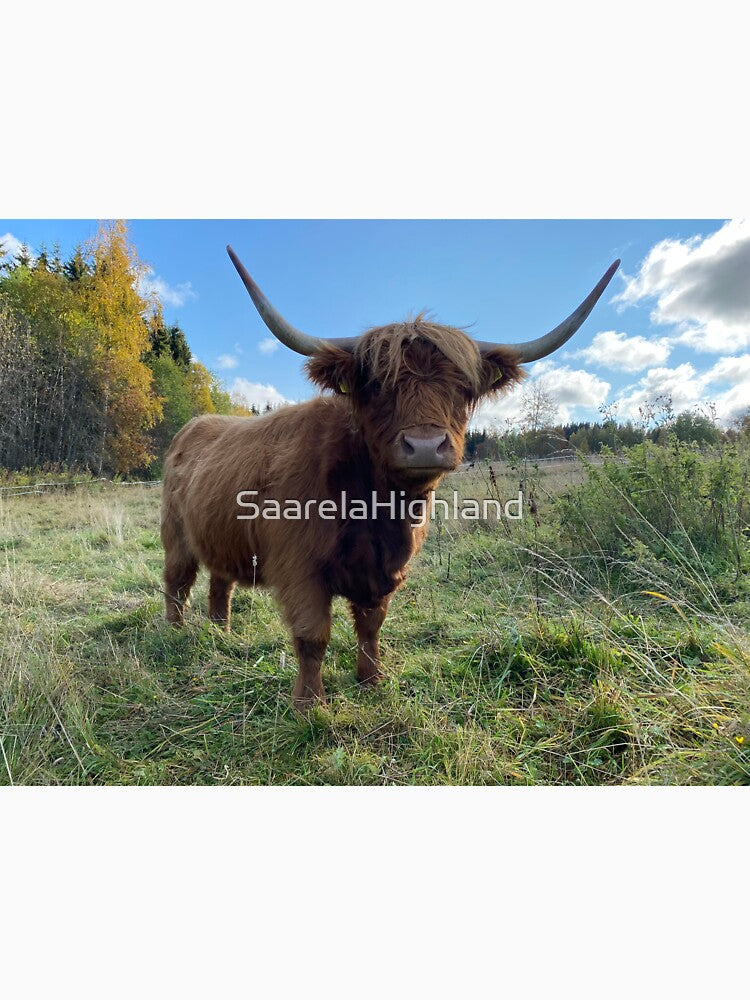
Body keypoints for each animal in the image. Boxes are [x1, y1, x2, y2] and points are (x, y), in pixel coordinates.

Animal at [161, 247, 619, 708]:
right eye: (379, 385)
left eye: (463, 389)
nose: (425, 445)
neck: (378, 509)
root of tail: (191, 427)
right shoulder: (300, 567)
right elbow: (312, 637)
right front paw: (309, 705)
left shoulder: (385, 570)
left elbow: (371, 626)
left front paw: (371, 680)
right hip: (175, 535)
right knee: (177, 582)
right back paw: (175, 634)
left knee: (220, 585)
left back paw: (221, 634)